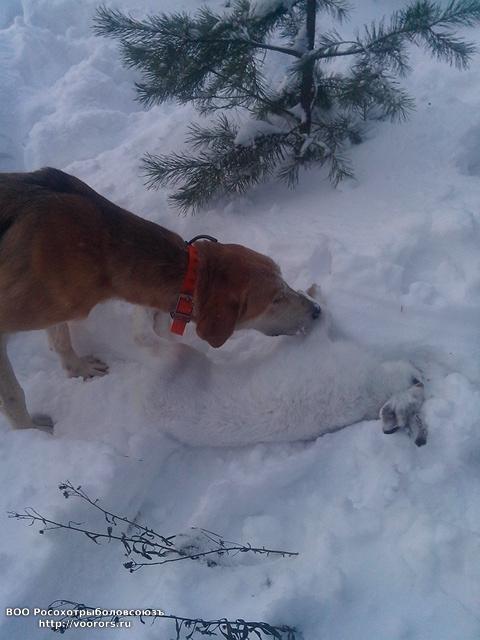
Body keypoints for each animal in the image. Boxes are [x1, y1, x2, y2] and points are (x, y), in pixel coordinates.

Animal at [0, 168, 321, 433]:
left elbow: (60, 337)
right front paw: (30, 433)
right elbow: (14, 394)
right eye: (275, 299)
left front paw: (77, 368)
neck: (101, 246)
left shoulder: (58, 304)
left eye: (284, 278)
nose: (317, 310)